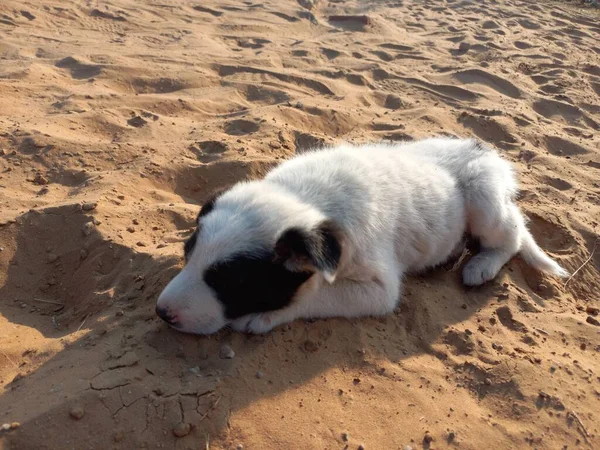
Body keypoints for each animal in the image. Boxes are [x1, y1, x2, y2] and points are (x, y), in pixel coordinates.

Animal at [155, 137, 568, 334]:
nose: (162, 313)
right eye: (187, 255)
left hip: (484, 199)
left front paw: (263, 317)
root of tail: (482, 148)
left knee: (512, 236)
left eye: (231, 282)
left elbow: (317, 295)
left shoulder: (379, 289)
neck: (304, 197)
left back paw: (481, 265)